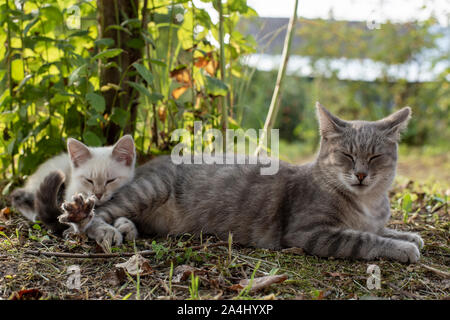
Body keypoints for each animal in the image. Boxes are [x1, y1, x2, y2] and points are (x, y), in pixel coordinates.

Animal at [47, 104, 424, 264]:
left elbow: (381, 229)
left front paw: (408, 235)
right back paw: (100, 228)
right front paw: (402, 247)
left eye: (374, 157)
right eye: (347, 155)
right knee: (90, 217)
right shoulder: (311, 233)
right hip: (145, 191)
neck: (367, 203)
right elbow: (364, 239)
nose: (360, 174)